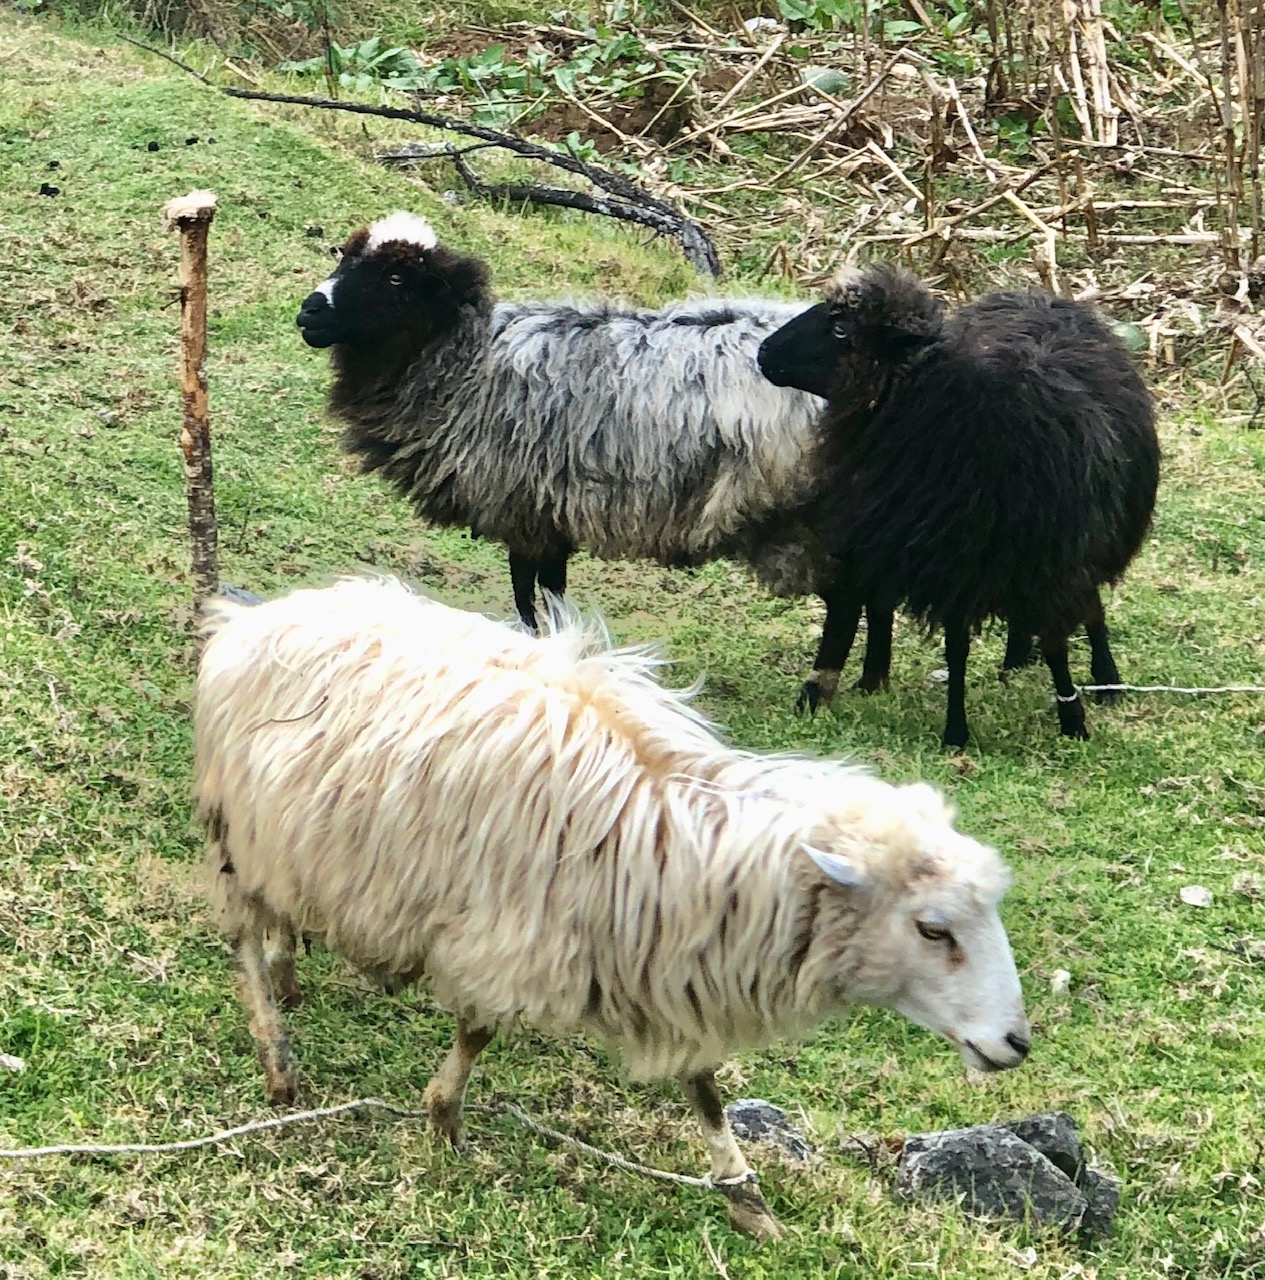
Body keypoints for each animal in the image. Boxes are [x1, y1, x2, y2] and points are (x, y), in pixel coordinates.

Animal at [194, 581, 1029, 1239]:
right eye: (932, 928)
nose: (1015, 1043)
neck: (669, 846)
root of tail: (253, 619)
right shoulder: (510, 937)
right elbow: (478, 1031)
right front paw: (443, 1119)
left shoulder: (675, 959)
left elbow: (702, 1086)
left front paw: (746, 1198)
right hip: (238, 831)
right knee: (241, 940)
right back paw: (277, 1061)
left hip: (294, 843)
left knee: (277, 921)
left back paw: (289, 971)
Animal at [757, 267, 1162, 747]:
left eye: (841, 330)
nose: (763, 353)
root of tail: (1039, 295)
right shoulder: (950, 558)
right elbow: (956, 648)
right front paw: (956, 731)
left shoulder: (1046, 558)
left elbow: (1056, 644)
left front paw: (1073, 720)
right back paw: (1014, 660)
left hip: (1080, 540)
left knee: (1090, 606)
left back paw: (1107, 680)